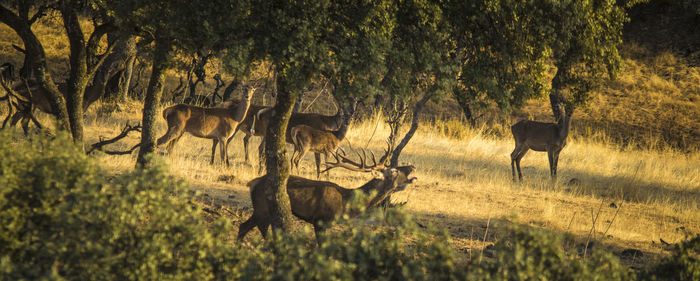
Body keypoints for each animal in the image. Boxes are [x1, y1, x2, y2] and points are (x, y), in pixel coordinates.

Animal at [238, 145, 418, 240]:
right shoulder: (320, 220)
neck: (346, 204)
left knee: (246, 226)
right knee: (255, 227)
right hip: (263, 207)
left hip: (261, 209)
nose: (411, 166)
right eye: (394, 171)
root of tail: (252, 183)